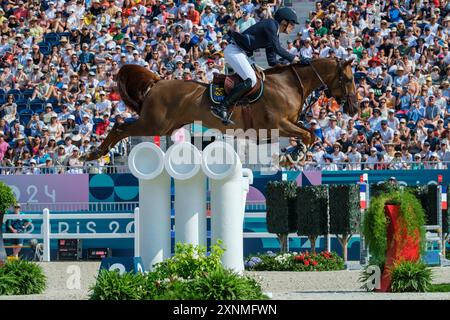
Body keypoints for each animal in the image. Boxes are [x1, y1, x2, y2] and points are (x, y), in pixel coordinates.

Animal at [82, 57, 358, 161]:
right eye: (347, 79)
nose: (354, 109)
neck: (289, 84)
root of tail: (158, 82)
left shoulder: (285, 126)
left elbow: (309, 133)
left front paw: (292, 153)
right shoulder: (277, 125)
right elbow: (307, 135)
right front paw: (294, 155)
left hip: (164, 126)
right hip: (153, 125)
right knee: (120, 127)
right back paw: (93, 153)